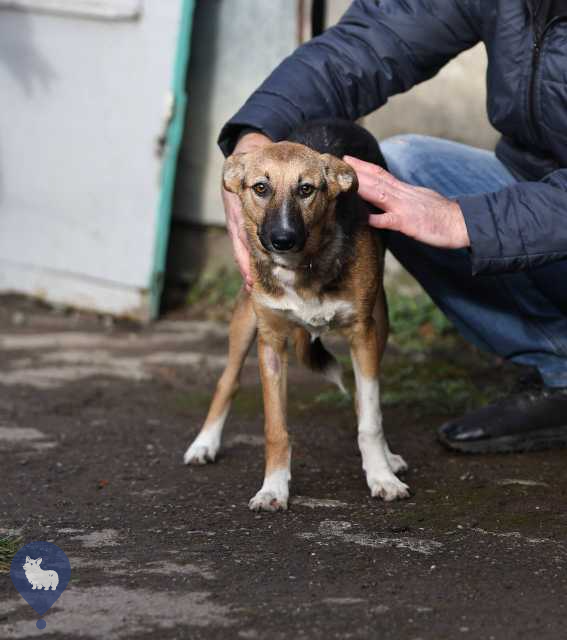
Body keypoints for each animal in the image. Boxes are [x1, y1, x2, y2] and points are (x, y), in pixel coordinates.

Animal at [184, 119, 410, 510]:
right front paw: (273, 488)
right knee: (227, 380)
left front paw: (382, 476)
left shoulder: (362, 334)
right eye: (260, 187)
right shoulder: (271, 342)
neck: (303, 267)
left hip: (380, 320)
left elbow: (370, 418)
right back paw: (204, 443)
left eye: (306, 189)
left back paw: (387, 457)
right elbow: (275, 427)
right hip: (246, 313)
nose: (283, 239)